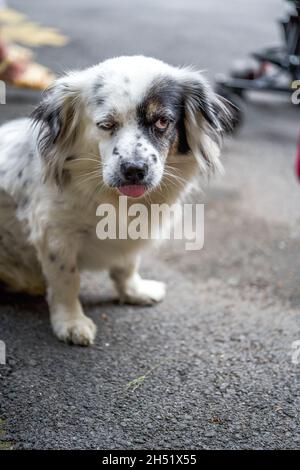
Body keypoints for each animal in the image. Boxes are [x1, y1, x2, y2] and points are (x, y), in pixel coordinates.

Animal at [0, 56, 232, 346]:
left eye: (162, 121)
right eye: (106, 124)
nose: (134, 169)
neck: (115, 201)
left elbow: (127, 265)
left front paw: (134, 292)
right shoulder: (55, 235)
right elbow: (66, 280)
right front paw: (71, 323)